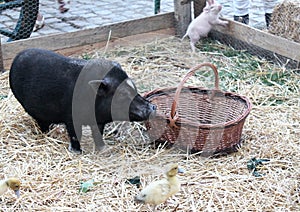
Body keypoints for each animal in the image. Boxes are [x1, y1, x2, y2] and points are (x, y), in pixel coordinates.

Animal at [8, 48, 157, 152]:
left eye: (134, 88)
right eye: (122, 95)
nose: (153, 107)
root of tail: (17, 56)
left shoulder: (99, 120)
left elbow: (98, 133)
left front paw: (104, 149)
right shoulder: (70, 117)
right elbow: (75, 134)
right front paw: (77, 151)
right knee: (41, 123)